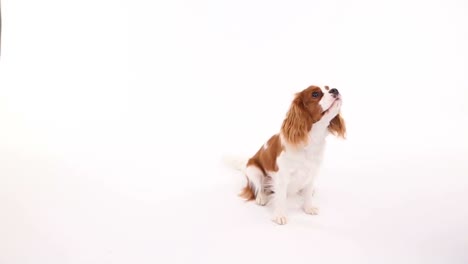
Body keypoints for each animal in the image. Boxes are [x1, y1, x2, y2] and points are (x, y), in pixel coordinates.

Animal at [225, 85, 346, 225]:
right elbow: (281, 197)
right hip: (253, 169)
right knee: (256, 187)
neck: (310, 140)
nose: (335, 90)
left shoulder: (312, 173)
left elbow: (308, 192)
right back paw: (261, 197)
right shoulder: (282, 176)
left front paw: (308, 207)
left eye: (328, 87)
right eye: (315, 94)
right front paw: (280, 215)